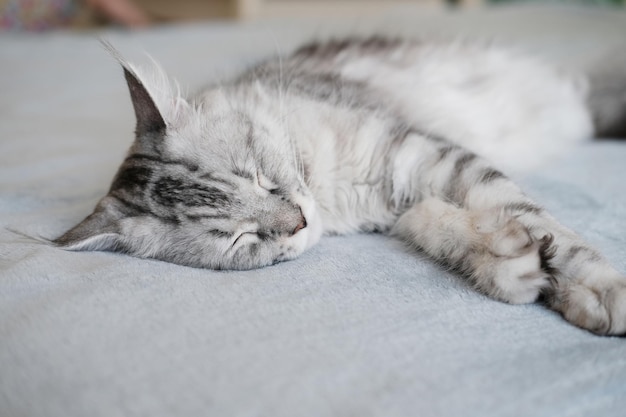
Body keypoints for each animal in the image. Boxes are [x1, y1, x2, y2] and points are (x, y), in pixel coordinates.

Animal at [53, 38, 624, 334]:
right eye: (241, 239)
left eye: (259, 175)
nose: (300, 222)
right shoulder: (407, 205)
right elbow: (457, 234)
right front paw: (515, 266)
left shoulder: (422, 157)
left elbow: (543, 226)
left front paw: (598, 294)